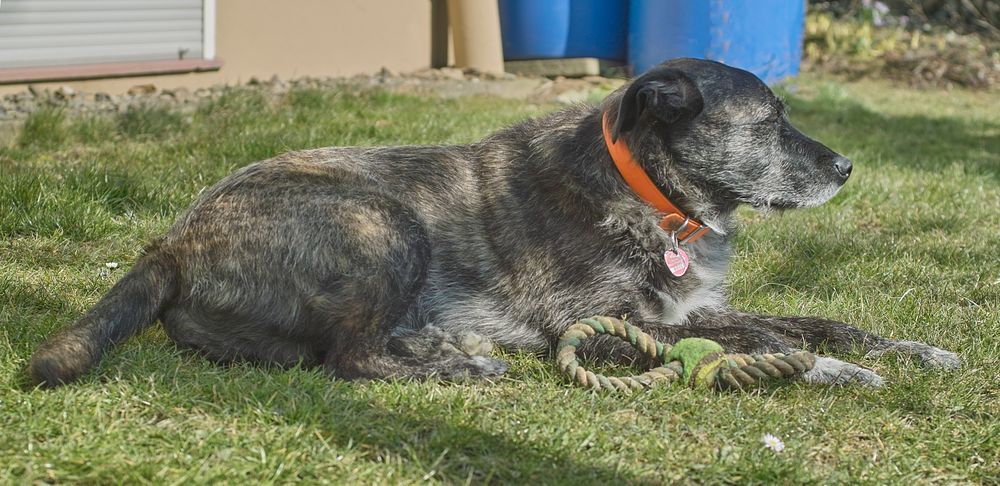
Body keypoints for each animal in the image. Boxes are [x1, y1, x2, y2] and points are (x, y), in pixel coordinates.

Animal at [31, 58, 956, 390]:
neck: (651, 198)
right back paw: (459, 367)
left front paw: (912, 351)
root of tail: (173, 241)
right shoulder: (598, 326)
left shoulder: (692, 308)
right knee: (346, 360)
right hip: (381, 221)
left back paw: (444, 347)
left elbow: (812, 321)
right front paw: (833, 373)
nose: (847, 168)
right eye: (767, 123)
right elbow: (756, 345)